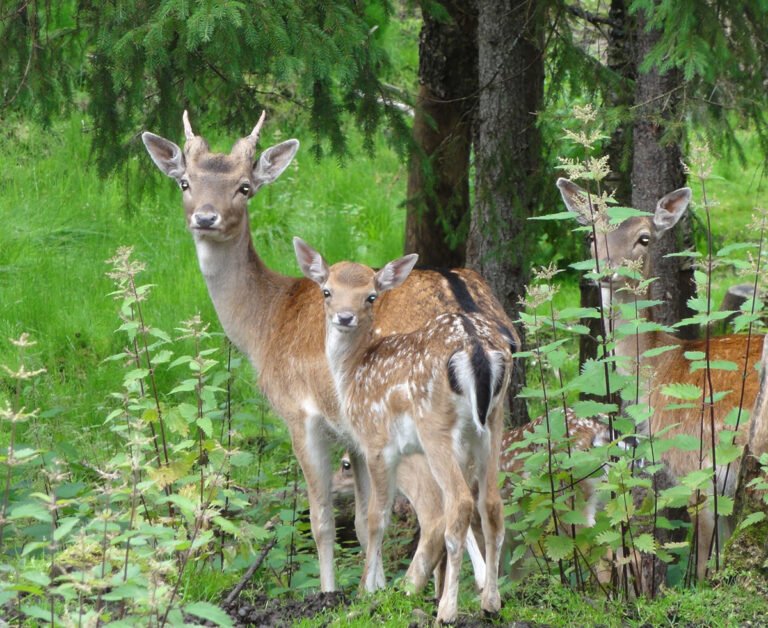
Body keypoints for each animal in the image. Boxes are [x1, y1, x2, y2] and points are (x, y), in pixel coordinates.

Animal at [296, 237, 512, 624]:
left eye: (370, 296)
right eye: (327, 291)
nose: (345, 317)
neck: (352, 372)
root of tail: (476, 348)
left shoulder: (375, 442)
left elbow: (373, 517)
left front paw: (367, 590)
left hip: (436, 425)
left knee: (460, 502)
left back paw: (447, 611)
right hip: (491, 424)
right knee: (491, 504)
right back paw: (490, 603)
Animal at [556, 177, 764, 580]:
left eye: (644, 238)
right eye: (591, 235)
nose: (606, 270)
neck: (662, 368)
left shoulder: (697, 468)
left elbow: (703, 563)